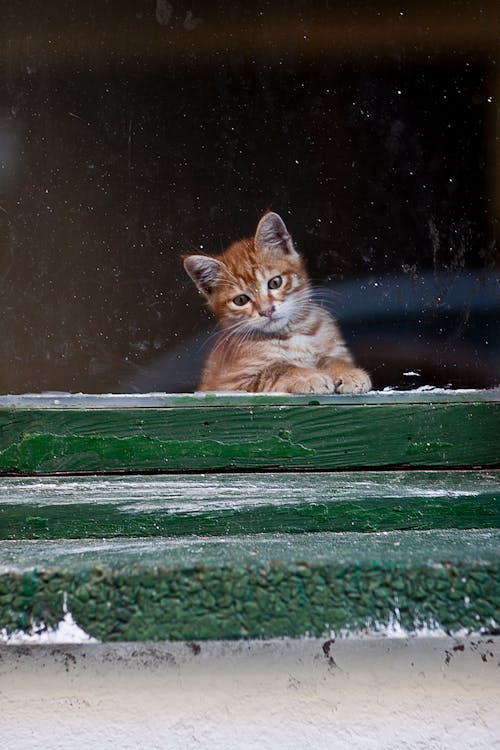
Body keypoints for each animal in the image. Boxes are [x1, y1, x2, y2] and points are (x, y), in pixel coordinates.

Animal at [184, 213, 372, 394]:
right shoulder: (229, 384)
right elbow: (278, 369)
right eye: (240, 300)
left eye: (275, 283)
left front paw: (347, 372)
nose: (267, 310)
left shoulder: (336, 349)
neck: (291, 334)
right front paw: (307, 376)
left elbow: (332, 359)